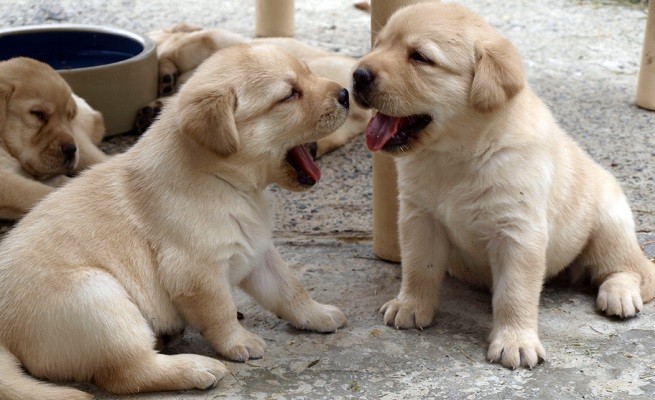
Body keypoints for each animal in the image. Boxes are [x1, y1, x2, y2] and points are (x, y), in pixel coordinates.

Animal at [354, 3, 655, 370]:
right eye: (378, 44)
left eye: (420, 57)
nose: (358, 75)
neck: (456, 156)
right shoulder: (419, 217)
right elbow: (418, 268)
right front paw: (410, 306)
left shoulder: (518, 232)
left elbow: (514, 292)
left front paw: (515, 342)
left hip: (610, 221)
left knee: (628, 267)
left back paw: (619, 294)